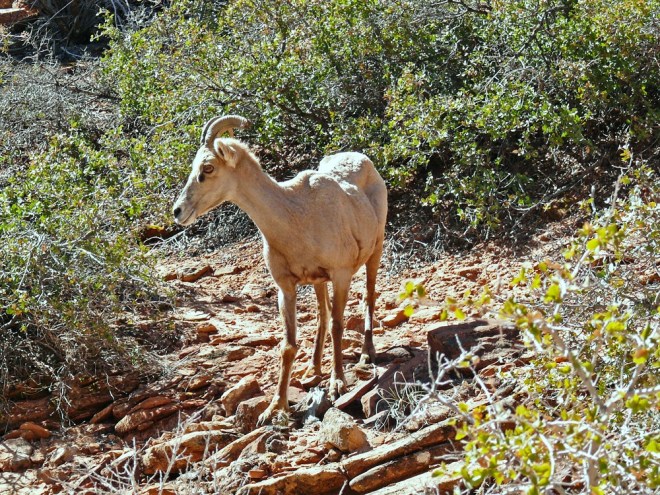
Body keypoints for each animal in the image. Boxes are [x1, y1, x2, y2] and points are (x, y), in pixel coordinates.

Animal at [172, 115, 388, 424]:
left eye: (208, 168)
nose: (178, 211)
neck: (296, 218)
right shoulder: (286, 288)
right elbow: (288, 345)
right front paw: (275, 408)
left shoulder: (341, 274)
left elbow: (338, 325)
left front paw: (337, 384)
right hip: (318, 281)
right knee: (322, 315)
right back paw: (313, 369)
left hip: (375, 251)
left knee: (368, 298)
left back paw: (367, 354)